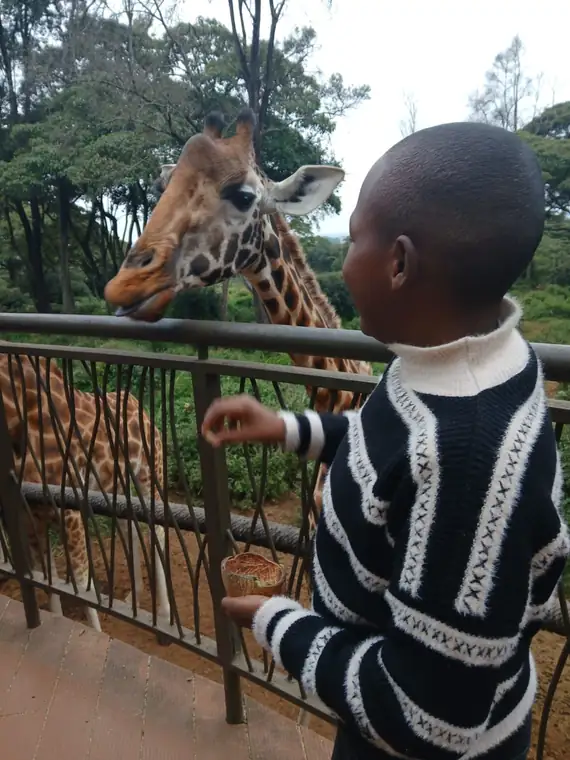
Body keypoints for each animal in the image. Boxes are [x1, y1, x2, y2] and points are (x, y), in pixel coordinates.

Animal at [0, 351, 171, 631]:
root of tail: (143, 410)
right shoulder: (31, 518)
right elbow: (48, 579)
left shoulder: (69, 513)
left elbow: (81, 580)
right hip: (116, 484)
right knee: (129, 527)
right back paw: (132, 598)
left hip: (149, 473)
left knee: (157, 530)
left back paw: (165, 613)